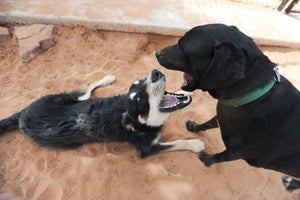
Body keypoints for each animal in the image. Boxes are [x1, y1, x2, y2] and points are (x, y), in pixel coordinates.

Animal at [0, 70, 206, 158]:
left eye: (141, 81)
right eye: (139, 100)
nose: (155, 72)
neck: (141, 124)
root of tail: (22, 115)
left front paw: (187, 90)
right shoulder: (147, 150)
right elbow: (176, 143)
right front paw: (195, 144)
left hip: (75, 98)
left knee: (88, 87)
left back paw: (108, 78)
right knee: (86, 88)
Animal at [156, 24, 300, 190]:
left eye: (181, 46)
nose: (157, 53)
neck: (253, 96)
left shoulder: (238, 152)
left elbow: (221, 157)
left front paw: (207, 159)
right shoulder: (223, 115)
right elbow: (209, 122)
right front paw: (195, 127)